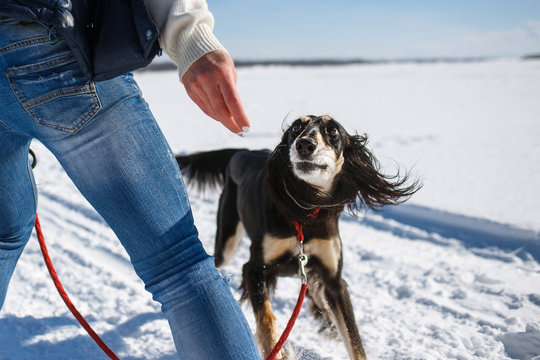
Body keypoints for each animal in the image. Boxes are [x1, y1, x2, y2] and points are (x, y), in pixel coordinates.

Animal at [175, 116, 420, 360]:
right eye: (295, 128)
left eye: (332, 130)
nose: (304, 145)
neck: (305, 209)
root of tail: (244, 152)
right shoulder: (254, 268)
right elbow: (266, 318)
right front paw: (276, 349)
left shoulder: (334, 280)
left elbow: (354, 339)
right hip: (227, 243)